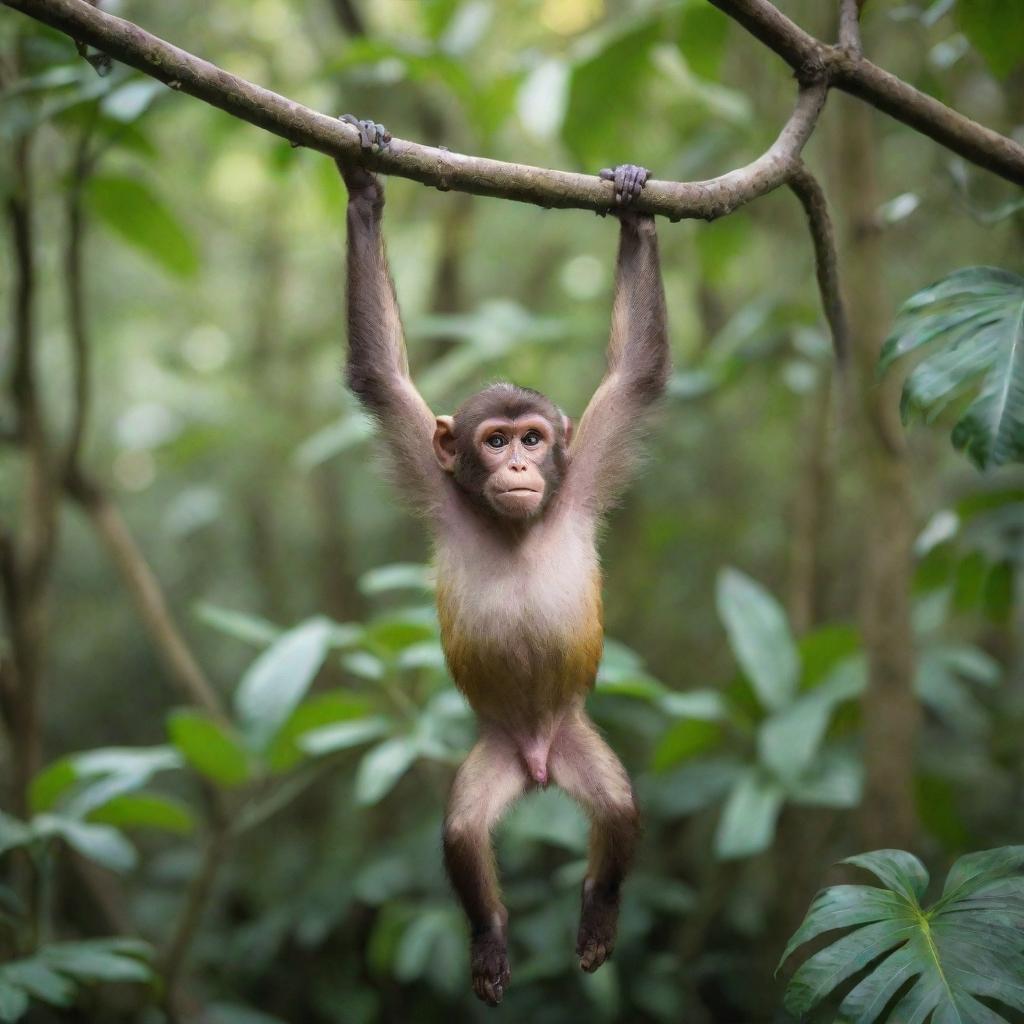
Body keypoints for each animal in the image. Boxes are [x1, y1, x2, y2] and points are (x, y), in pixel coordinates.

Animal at [335, 116, 671, 1003]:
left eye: (532, 437)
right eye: (493, 441)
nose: (519, 465)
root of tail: (537, 762)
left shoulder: (581, 477)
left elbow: (637, 375)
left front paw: (635, 209)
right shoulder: (437, 479)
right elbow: (381, 377)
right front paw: (365, 181)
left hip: (577, 737)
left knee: (618, 811)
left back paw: (598, 910)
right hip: (491, 752)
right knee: (462, 832)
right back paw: (488, 937)